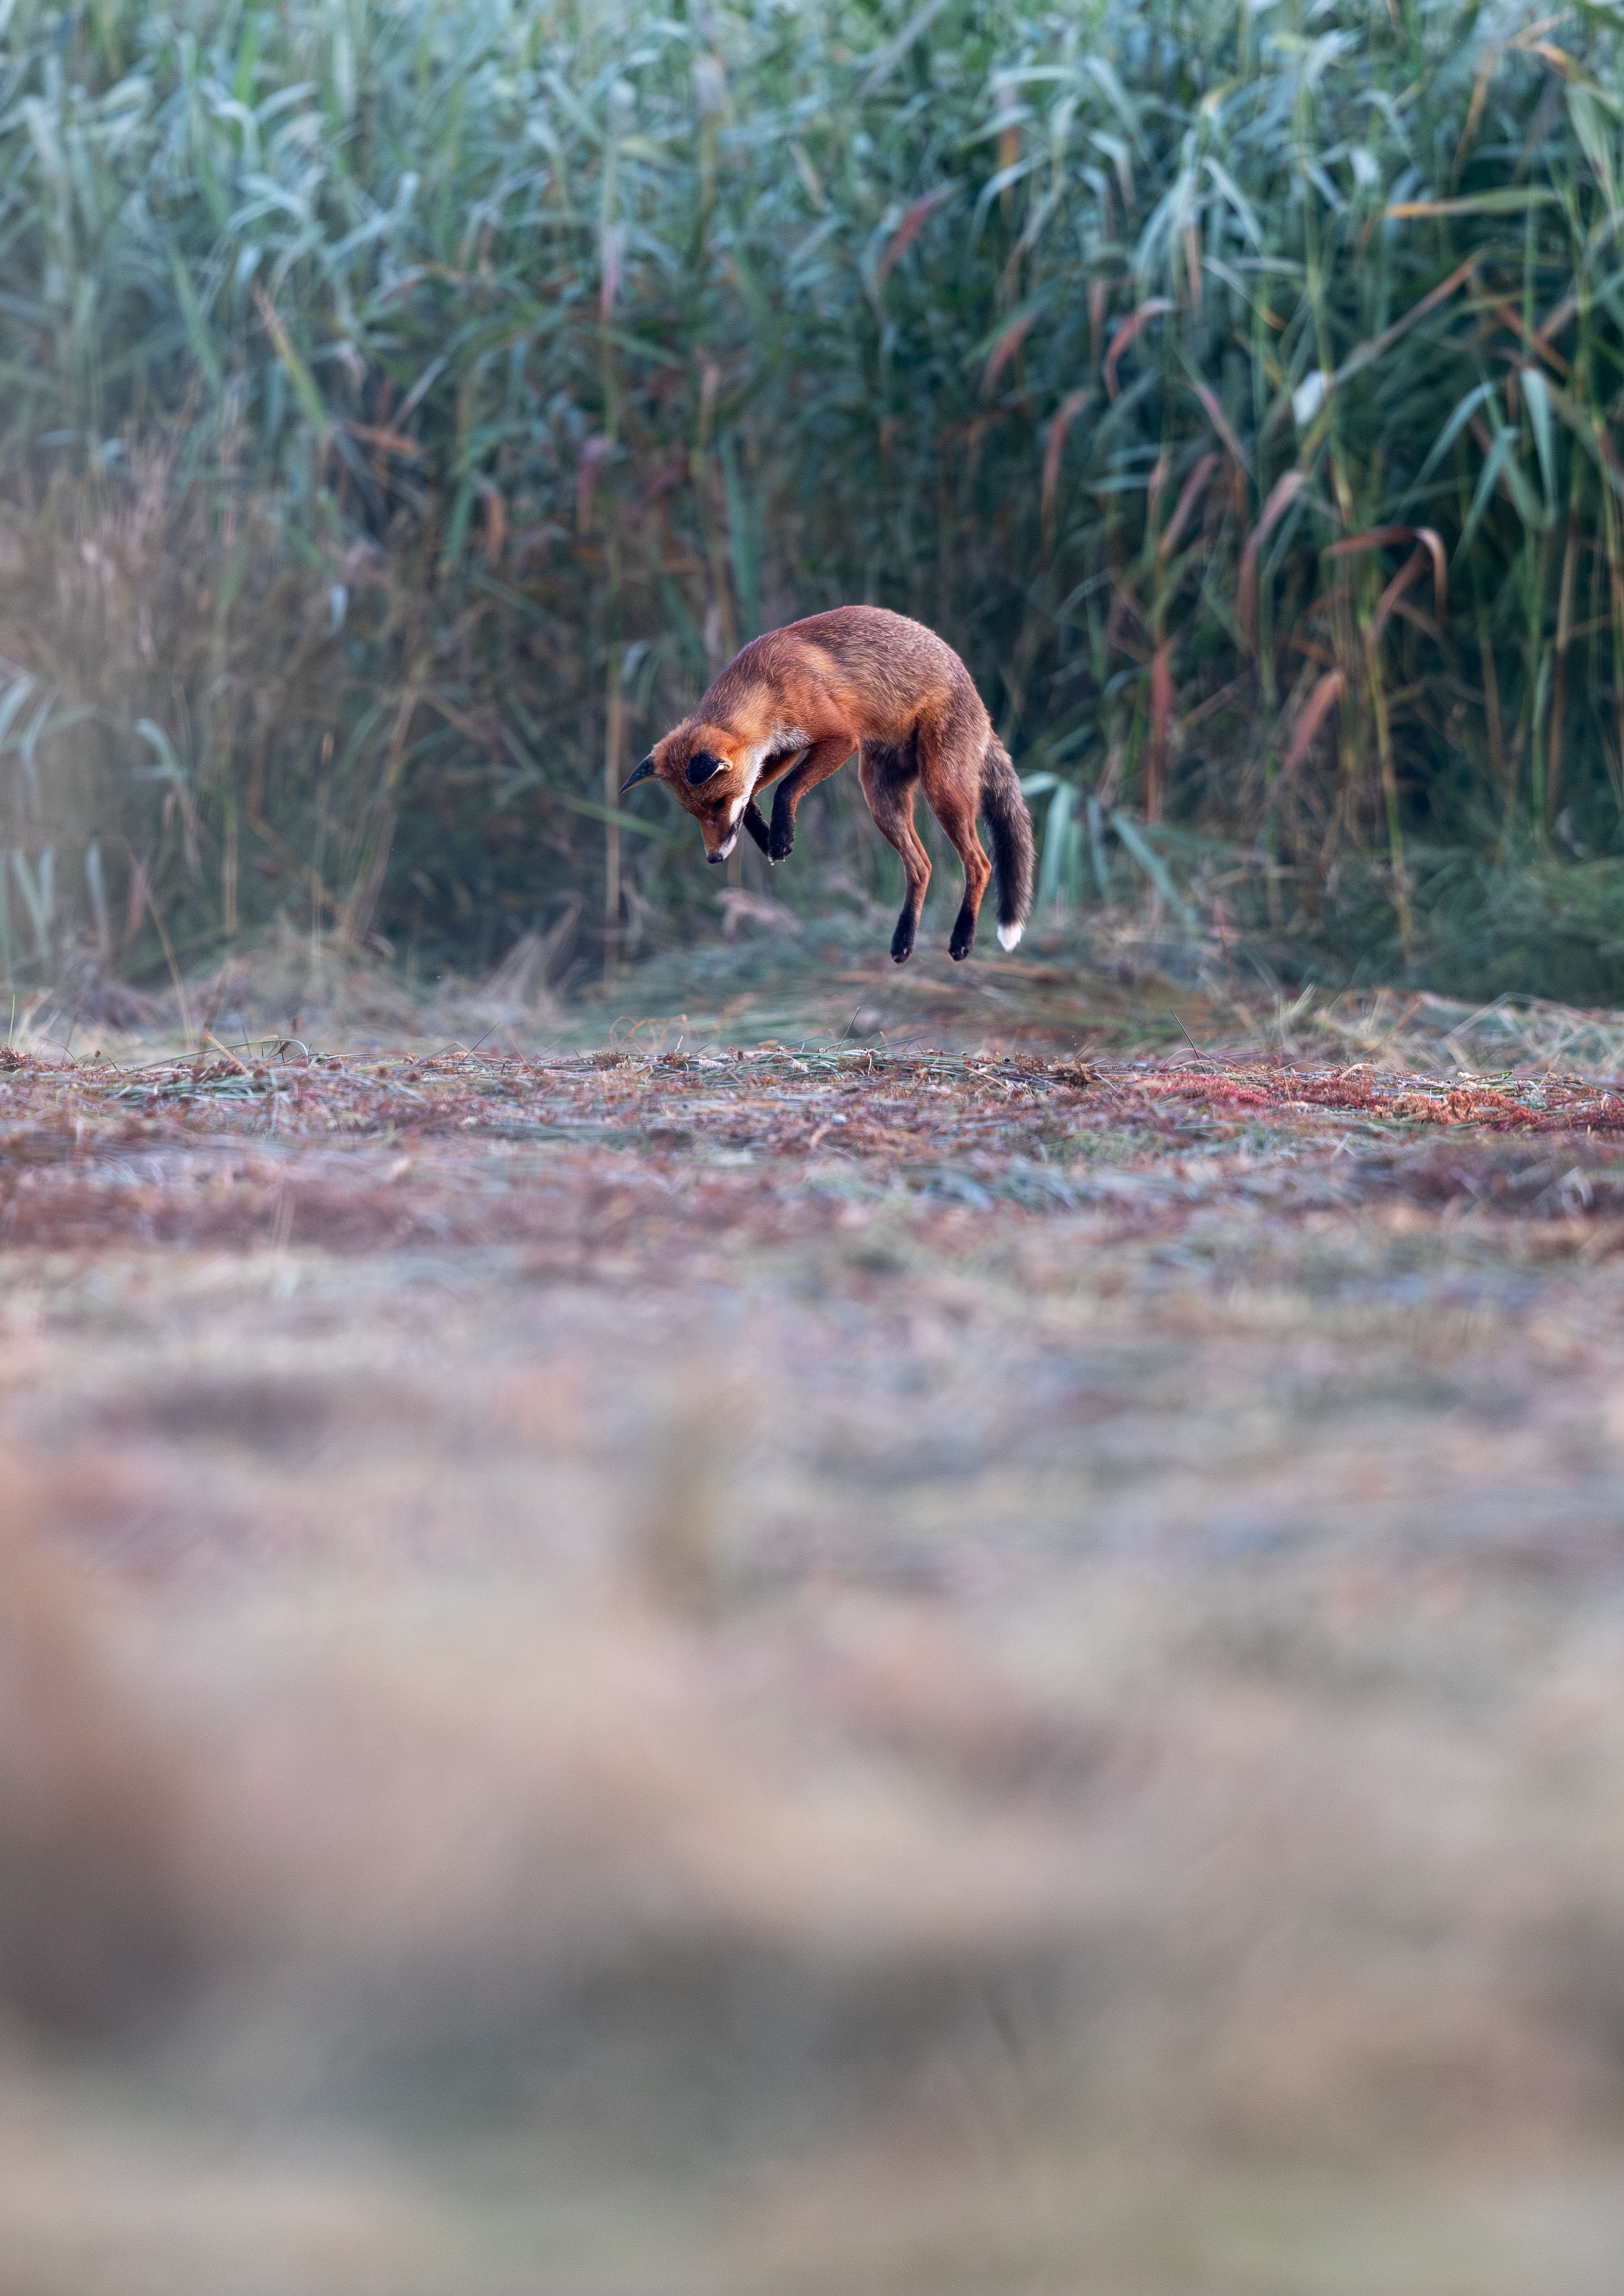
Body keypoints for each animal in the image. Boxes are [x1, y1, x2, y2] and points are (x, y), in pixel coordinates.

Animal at [619, 606, 1034, 964]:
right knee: (922, 866)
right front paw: (769, 837)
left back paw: (962, 937)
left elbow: (786, 789)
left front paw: (781, 838)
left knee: (980, 864)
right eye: (696, 814)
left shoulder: (839, 738)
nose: (713, 858)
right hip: (881, 799)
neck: (765, 685)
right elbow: (754, 793)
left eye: (717, 804)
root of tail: (982, 709)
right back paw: (904, 940)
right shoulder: (782, 749)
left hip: (942, 788)